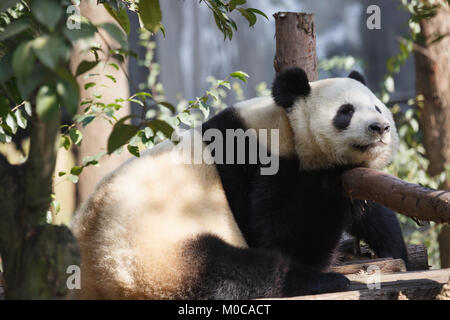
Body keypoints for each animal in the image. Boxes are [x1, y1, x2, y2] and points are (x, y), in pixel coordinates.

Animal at [73, 66, 408, 298]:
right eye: (346, 111)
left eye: (377, 107)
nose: (380, 127)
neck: (283, 123)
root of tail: (96, 279)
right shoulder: (256, 162)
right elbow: (286, 236)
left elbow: (373, 207)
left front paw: (396, 250)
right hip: (157, 253)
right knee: (233, 270)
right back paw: (324, 280)